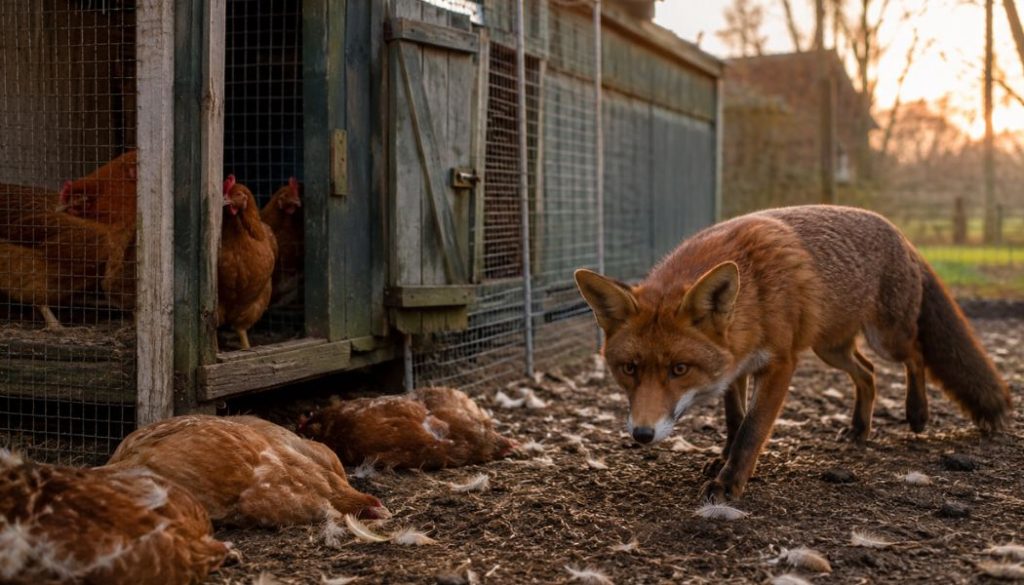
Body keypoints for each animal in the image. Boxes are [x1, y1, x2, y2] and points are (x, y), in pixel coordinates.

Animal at [574, 205, 1012, 503]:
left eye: (680, 369)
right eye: (629, 368)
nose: (642, 435)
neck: (754, 295)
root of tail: (899, 232)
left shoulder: (780, 364)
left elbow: (752, 429)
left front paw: (729, 482)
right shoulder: (735, 366)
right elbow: (734, 421)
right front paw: (723, 459)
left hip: (886, 337)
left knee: (915, 355)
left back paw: (917, 414)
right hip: (830, 348)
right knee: (867, 373)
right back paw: (859, 428)